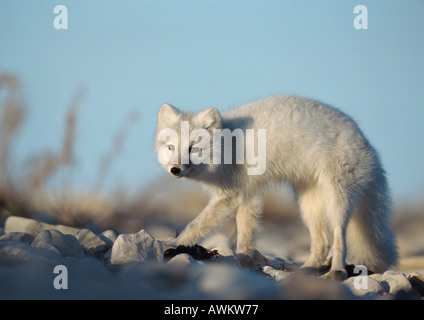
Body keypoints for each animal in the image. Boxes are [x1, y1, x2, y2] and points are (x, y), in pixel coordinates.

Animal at [155, 94, 398, 278]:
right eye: (170, 147)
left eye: (193, 148)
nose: (175, 169)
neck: (229, 147)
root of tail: (366, 142)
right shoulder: (249, 196)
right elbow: (245, 236)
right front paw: (244, 262)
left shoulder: (233, 196)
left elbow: (194, 225)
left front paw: (174, 244)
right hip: (307, 204)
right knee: (321, 243)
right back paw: (305, 270)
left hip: (337, 201)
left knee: (339, 239)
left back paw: (336, 271)